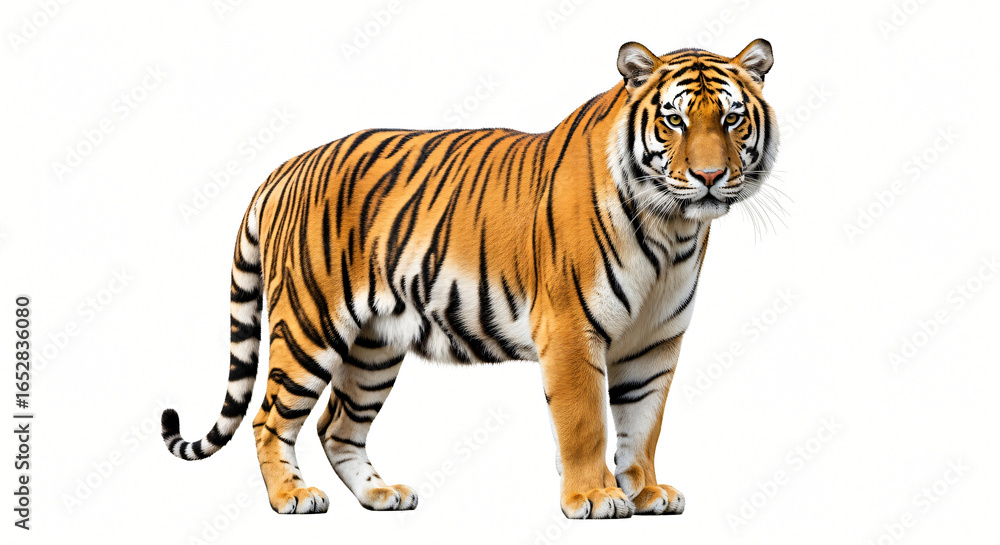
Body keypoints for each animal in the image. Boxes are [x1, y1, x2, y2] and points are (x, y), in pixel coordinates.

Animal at [161, 39, 778, 519]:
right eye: (674, 120)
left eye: (731, 118)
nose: (709, 176)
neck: (673, 230)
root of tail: (286, 167)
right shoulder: (571, 330)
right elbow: (585, 422)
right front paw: (594, 498)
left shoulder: (654, 343)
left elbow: (643, 423)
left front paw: (646, 493)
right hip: (310, 326)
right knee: (269, 418)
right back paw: (291, 496)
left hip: (374, 348)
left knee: (337, 424)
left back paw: (381, 494)